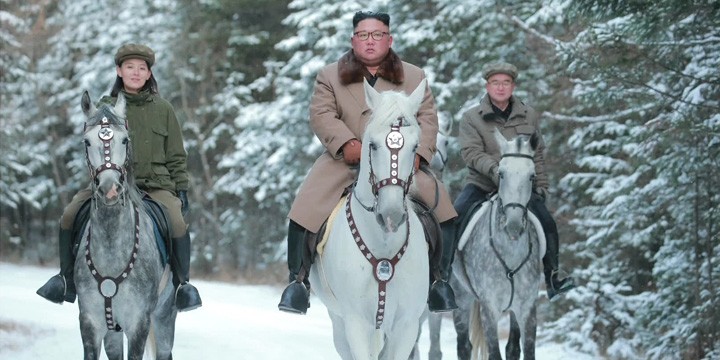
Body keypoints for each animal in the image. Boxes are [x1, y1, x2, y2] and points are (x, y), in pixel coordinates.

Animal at [308, 79, 430, 360]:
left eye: (415, 147)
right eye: (372, 145)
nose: (391, 214)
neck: (383, 246)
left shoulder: (407, 326)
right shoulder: (356, 323)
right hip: (339, 321)